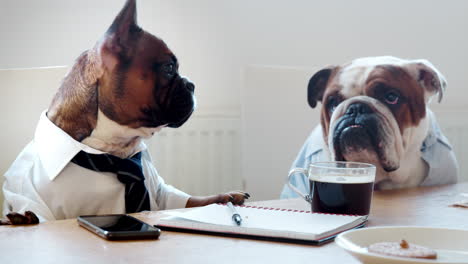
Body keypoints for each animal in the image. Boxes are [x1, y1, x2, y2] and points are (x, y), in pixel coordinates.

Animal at [1, 0, 249, 225]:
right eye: (169, 68)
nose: (191, 84)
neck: (112, 149)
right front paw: (21, 219)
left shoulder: (161, 193)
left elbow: (190, 200)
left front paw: (225, 196)